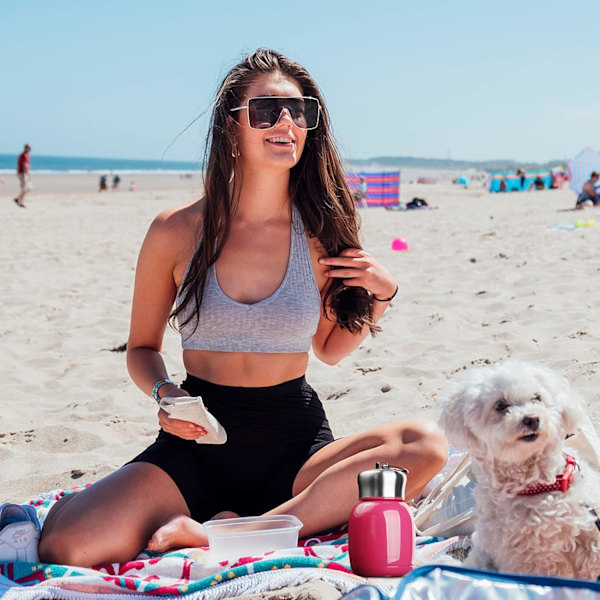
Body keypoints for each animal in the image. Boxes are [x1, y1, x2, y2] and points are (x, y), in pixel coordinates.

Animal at [438, 358, 600, 580]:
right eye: (501, 405)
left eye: (536, 398)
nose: (532, 419)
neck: (539, 485)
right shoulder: (528, 559)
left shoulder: (589, 533)